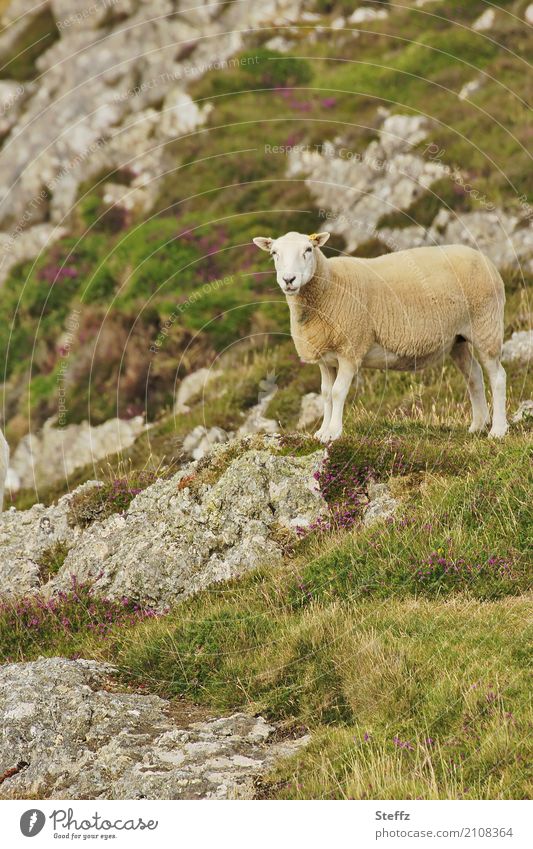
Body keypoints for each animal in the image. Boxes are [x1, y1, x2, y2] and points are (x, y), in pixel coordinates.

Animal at [251, 232, 510, 444]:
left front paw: (333, 432)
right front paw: (322, 431)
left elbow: (337, 392)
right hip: (458, 338)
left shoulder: (351, 348)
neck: (330, 285)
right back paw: (477, 426)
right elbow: (325, 394)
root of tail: (484, 259)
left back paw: (497, 430)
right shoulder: (325, 357)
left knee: (497, 376)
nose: (289, 280)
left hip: (486, 325)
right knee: (474, 375)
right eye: (274, 253)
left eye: (308, 249)